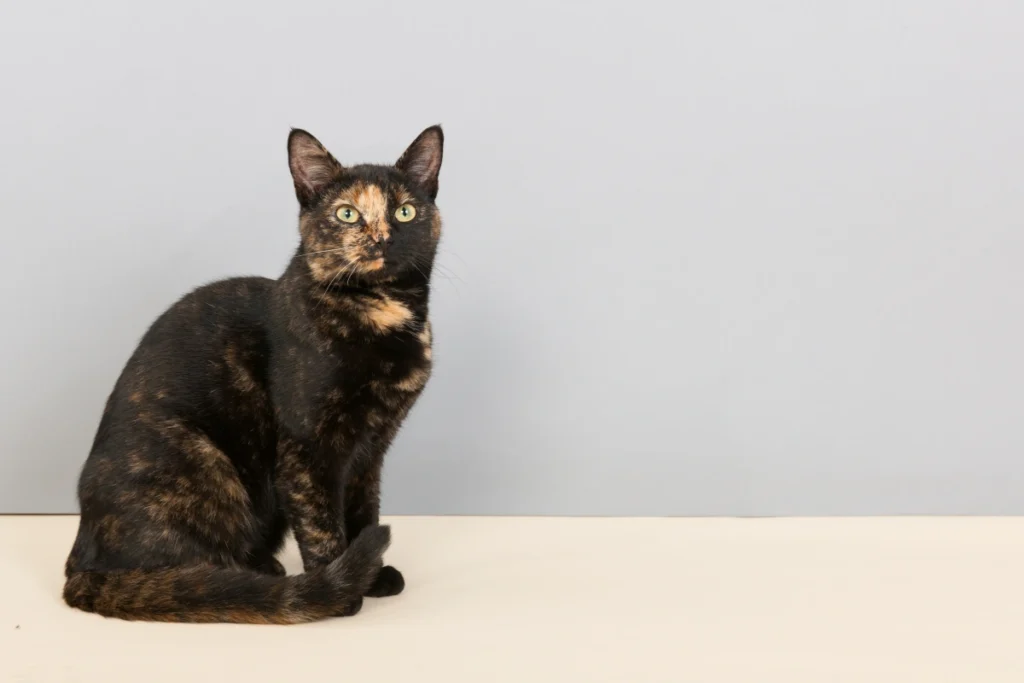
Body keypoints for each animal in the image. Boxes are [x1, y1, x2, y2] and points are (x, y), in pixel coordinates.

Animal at [62, 125, 444, 622]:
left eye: (405, 211)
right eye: (347, 214)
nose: (382, 238)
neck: (383, 315)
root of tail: (80, 561)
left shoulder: (371, 447)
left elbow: (363, 513)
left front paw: (373, 575)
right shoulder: (306, 449)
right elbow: (322, 522)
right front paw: (341, 588)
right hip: (204, 460)